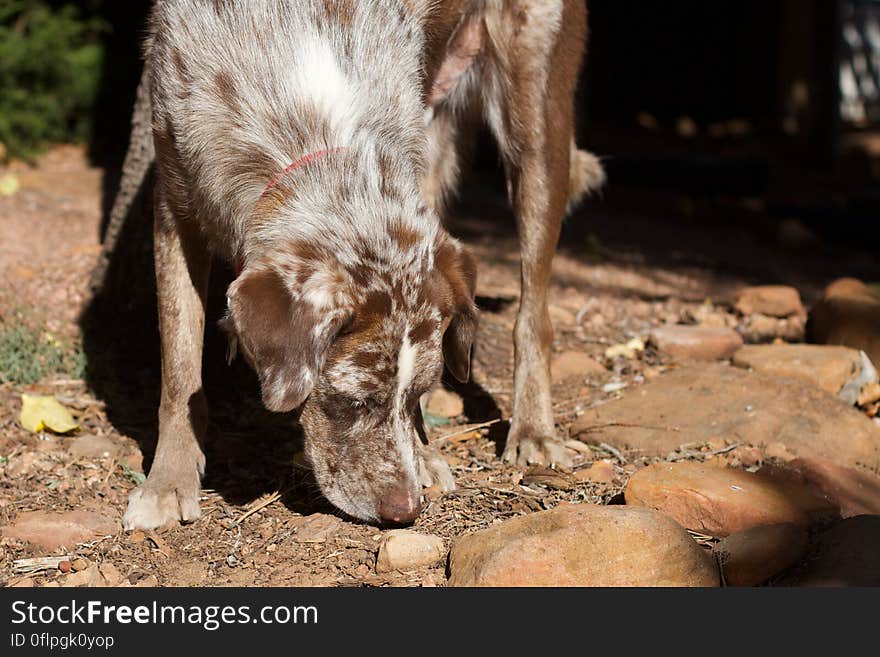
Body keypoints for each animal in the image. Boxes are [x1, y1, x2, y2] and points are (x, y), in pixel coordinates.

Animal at [120, 0, 604, 532]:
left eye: (410, 396)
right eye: (353, 402)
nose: (405, 511)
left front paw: (424, 452)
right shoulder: (174, 201)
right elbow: (180, 366)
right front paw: (168, 481)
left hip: (534, 113)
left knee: (533, 311)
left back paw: (534, 429)